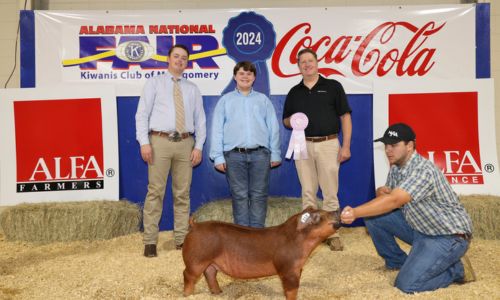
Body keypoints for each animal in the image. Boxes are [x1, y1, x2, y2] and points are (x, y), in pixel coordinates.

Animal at [182, 207, 342, 298]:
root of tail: (195, 226)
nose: (337, 210)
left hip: (210, 262)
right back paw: (188, 295)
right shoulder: (288, 269)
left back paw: (218, 293)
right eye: (317, 217)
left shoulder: (298, 268)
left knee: (209, 273)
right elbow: (291, 290)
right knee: (188, 275)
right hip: (196, 260)